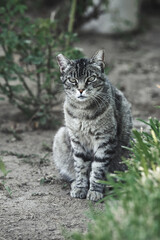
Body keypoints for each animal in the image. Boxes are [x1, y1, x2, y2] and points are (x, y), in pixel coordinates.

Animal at [52, 49, 132, 202]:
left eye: (91, 79)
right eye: (72, 80)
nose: (81, 90)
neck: (83, 111)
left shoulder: (105, 140)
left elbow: (98, 168)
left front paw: (95, 190)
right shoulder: (77, 141)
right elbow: (81, 167)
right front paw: (80, 188)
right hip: (60, 136)